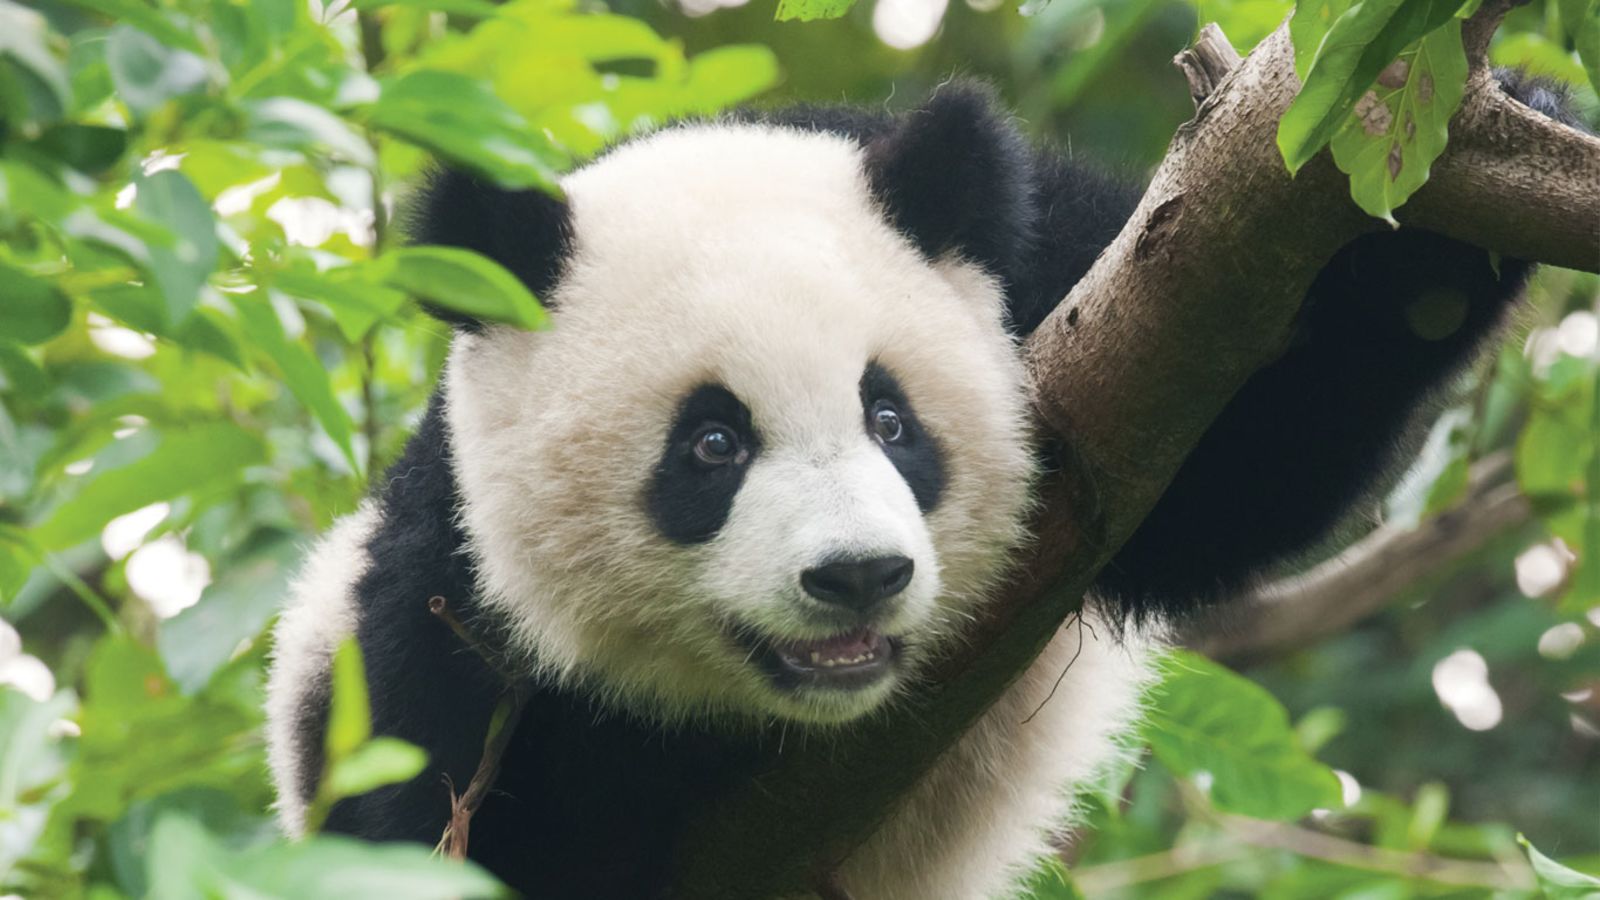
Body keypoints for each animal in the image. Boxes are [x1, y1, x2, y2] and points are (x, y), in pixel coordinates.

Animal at [265, 78, 1577, 898]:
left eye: (890, 420)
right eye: (710, 447)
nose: (857, 577)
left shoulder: (1066, 276)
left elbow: (1240, 463)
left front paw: (1471, 182)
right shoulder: (441, 633)